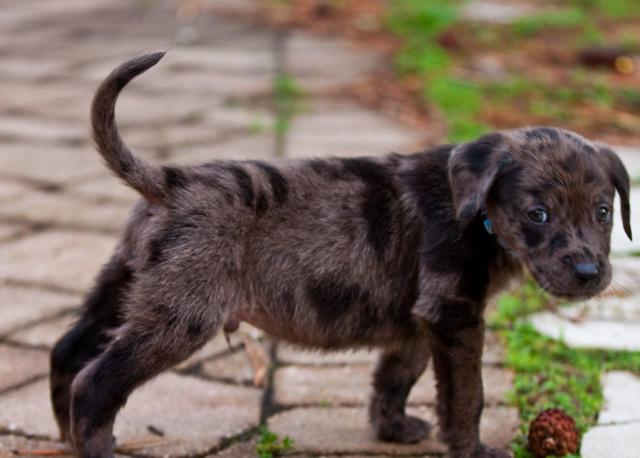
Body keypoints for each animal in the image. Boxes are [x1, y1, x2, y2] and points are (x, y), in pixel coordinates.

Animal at [48, 52, 632, 456]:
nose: (589, 272)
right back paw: (96, 445)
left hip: (123, 286)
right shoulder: (454, 316)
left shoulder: (419, 323)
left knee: (66, 354)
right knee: (94, 385)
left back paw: (67, 438)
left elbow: (396, 378)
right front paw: (472, 447)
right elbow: (467, 395)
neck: (478, 210)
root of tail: (170, 182)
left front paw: (394, 429)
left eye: (604, 212)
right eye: (538, 214)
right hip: (180, 316)